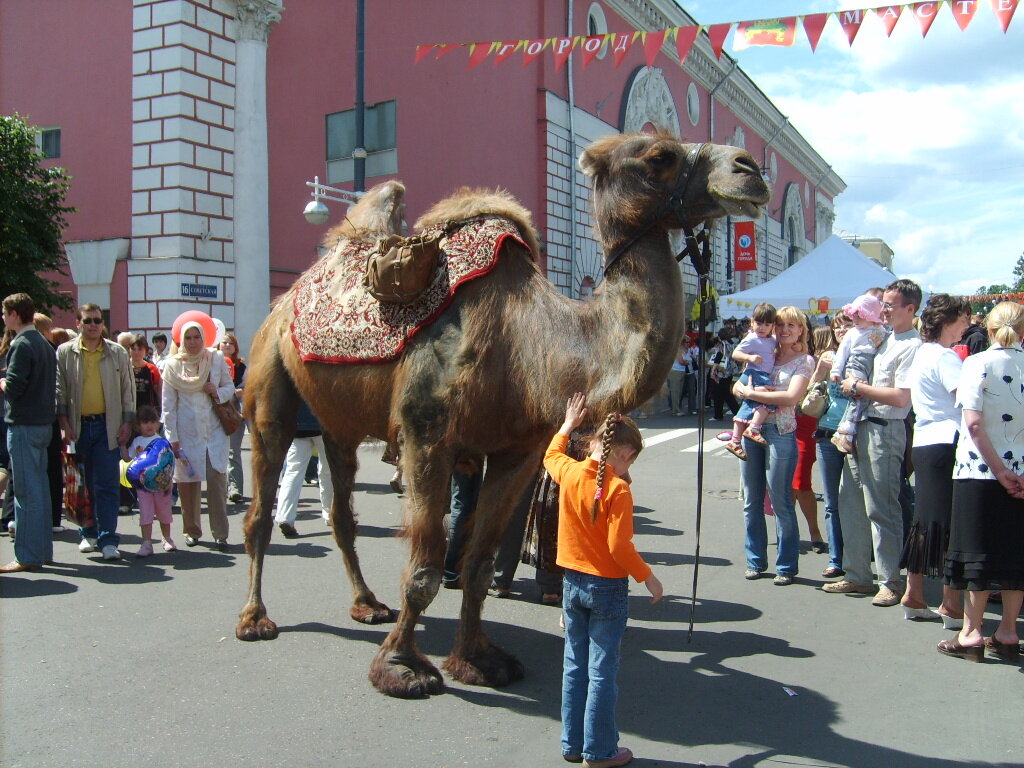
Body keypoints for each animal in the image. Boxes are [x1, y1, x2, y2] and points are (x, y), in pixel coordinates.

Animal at [237, 134, 770, 704]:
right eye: (659, 156)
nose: (749, 169)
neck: (532, 345)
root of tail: (286, 301)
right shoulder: (427, 437)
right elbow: (425, 568)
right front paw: (401, 668)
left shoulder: (519, 451)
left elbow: (477, 565)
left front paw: (478, 659)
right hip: (269, 387)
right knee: (261, 508)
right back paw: (255, 618)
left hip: (337, 423)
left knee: (342, 513)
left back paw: (367, 605)